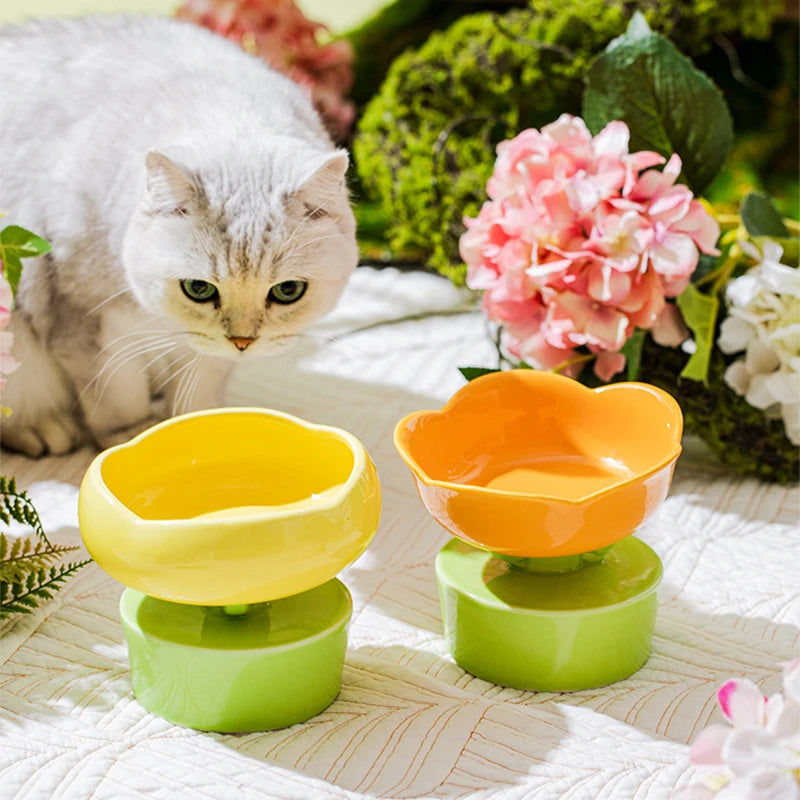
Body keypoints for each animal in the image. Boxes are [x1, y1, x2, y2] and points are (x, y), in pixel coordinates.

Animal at [0, 14, 356, 456]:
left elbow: (197, 397)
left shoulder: (206, 352)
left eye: (288, 291)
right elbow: (118, 397)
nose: (243, 341)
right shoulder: (86, 319)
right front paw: (129, 440)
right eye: (198, 289)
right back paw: (43, 430)